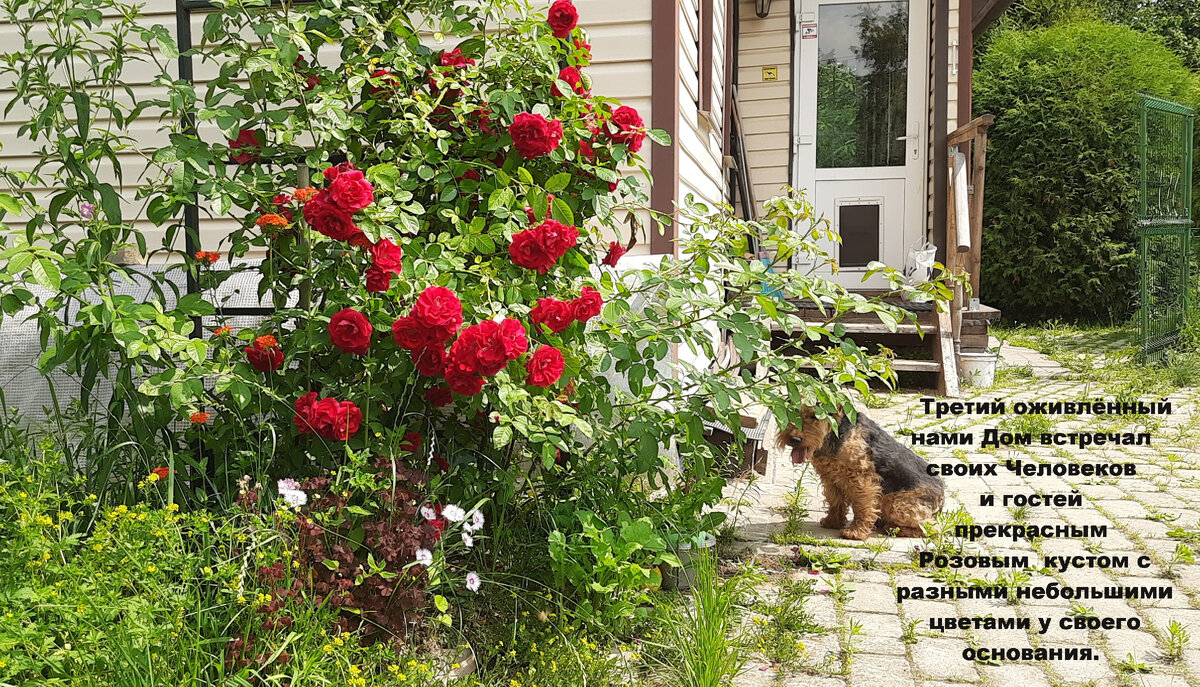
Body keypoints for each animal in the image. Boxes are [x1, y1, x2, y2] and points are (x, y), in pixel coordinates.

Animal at [777, 405, 945, 540]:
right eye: (792, 411)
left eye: (814, 416)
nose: (794, 439)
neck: (835, 432)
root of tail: (942, 495)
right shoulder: (831, 478)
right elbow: (835, 502)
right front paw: (833, 522)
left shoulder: (861, 480)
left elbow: (862, 507)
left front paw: (856, 532)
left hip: (896, 504)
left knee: (932, 528)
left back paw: (893, 528)